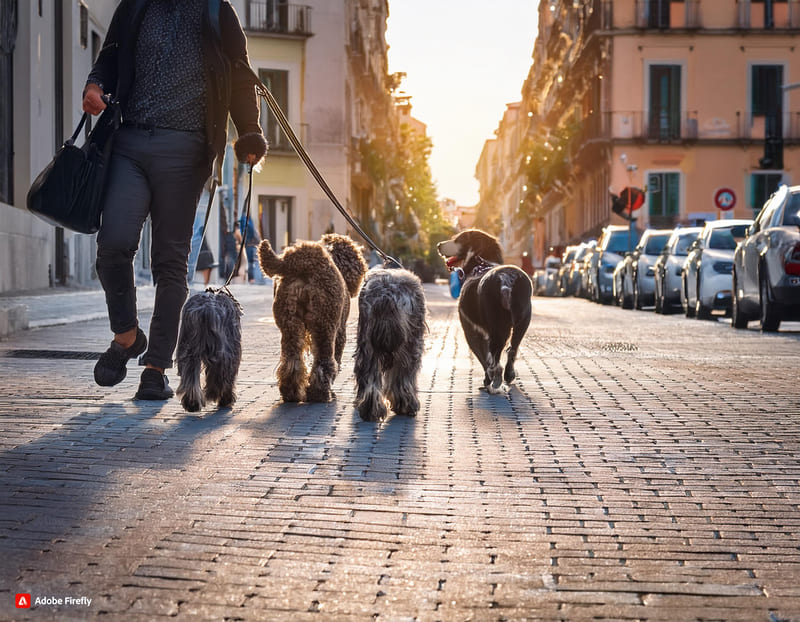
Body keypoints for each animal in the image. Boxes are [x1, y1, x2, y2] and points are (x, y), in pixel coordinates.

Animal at [354, 268, 428, 424]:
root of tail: (386, 294)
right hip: (410, 345)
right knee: (404, 376)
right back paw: (407, 405)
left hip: (367, 345)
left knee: (369, 377)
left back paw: (369, 411)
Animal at [438, 229, 532, 394]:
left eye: (457, 239)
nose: (438, 245)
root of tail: (505, 281)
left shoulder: (471, 331)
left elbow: (484, 358)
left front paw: (487, 380)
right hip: (522, 323)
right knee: (511, 350)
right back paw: (508, 376)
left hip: (496, 326)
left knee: (495, 363)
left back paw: (494, 381)